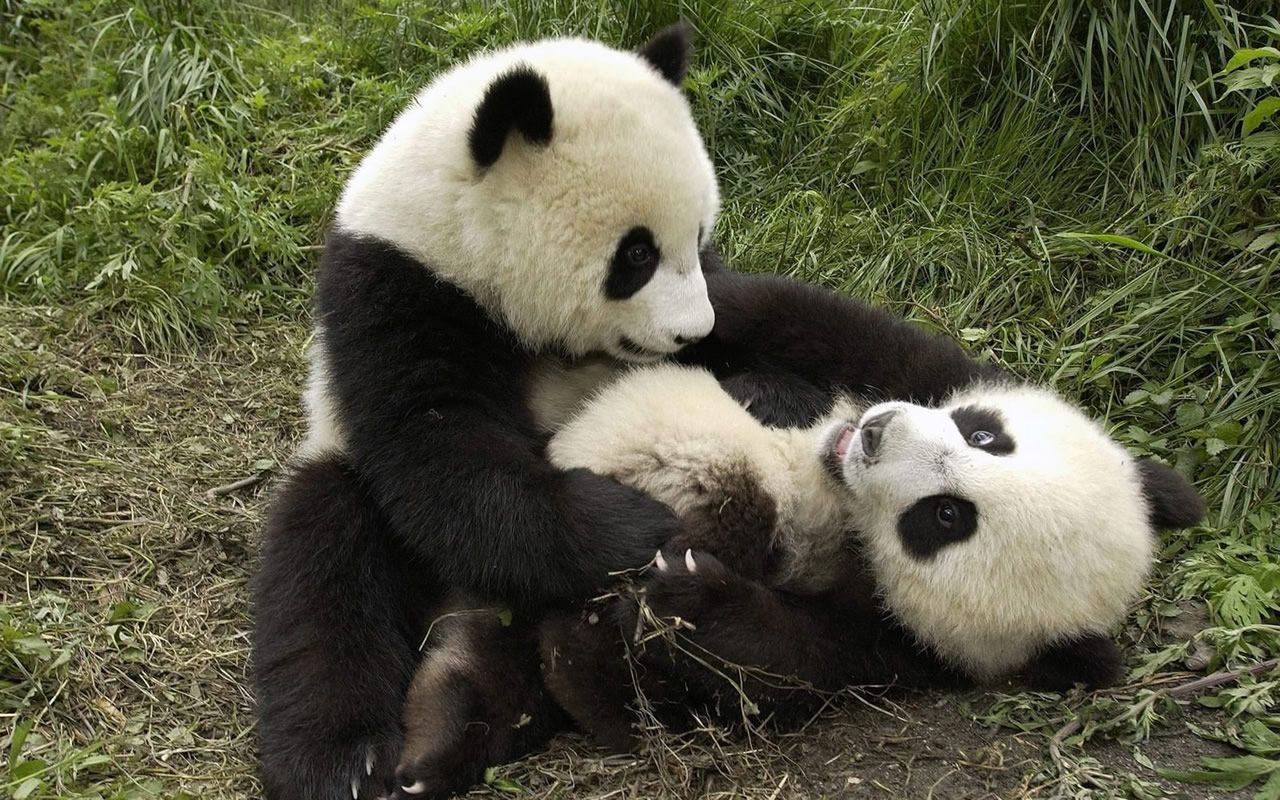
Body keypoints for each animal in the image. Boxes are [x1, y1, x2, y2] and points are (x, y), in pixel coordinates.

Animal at [252, 24, 724, 800]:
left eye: (700, 236)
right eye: (636, 254)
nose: (694, 334)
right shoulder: (395, 293)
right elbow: (439, 453)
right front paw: (633, 524)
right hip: (338, 477)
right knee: (323, 571)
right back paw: (348, 761)